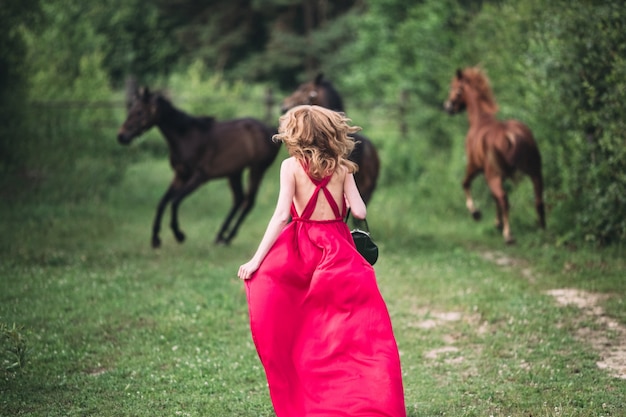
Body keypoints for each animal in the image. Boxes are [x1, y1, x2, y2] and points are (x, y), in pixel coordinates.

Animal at [118, 86, 280, 245]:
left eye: (139, 111)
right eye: (131, 109)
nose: (121, 136)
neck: (186, 137)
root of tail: (271, 130)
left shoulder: (199, 177)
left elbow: (175, 201)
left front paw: (179, 235)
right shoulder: (180, 175)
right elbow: (162, 202)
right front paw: (155, 239)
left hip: (257, 169)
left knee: (248, 202)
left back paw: (228, 237)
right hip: (235, 172)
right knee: (239, 199)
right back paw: (220, 236)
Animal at [444, 66, 540, 242]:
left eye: (454, 87)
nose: (447, 107)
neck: (480, 120)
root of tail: (511, 135)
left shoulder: (474, 166)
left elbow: (465, 183)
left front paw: (476, 213)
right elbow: (494, 198)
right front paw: (497, 222)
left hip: (492, 175)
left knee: (503, 197)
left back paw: (508, 235)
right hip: (534, 172)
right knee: (537, 200)